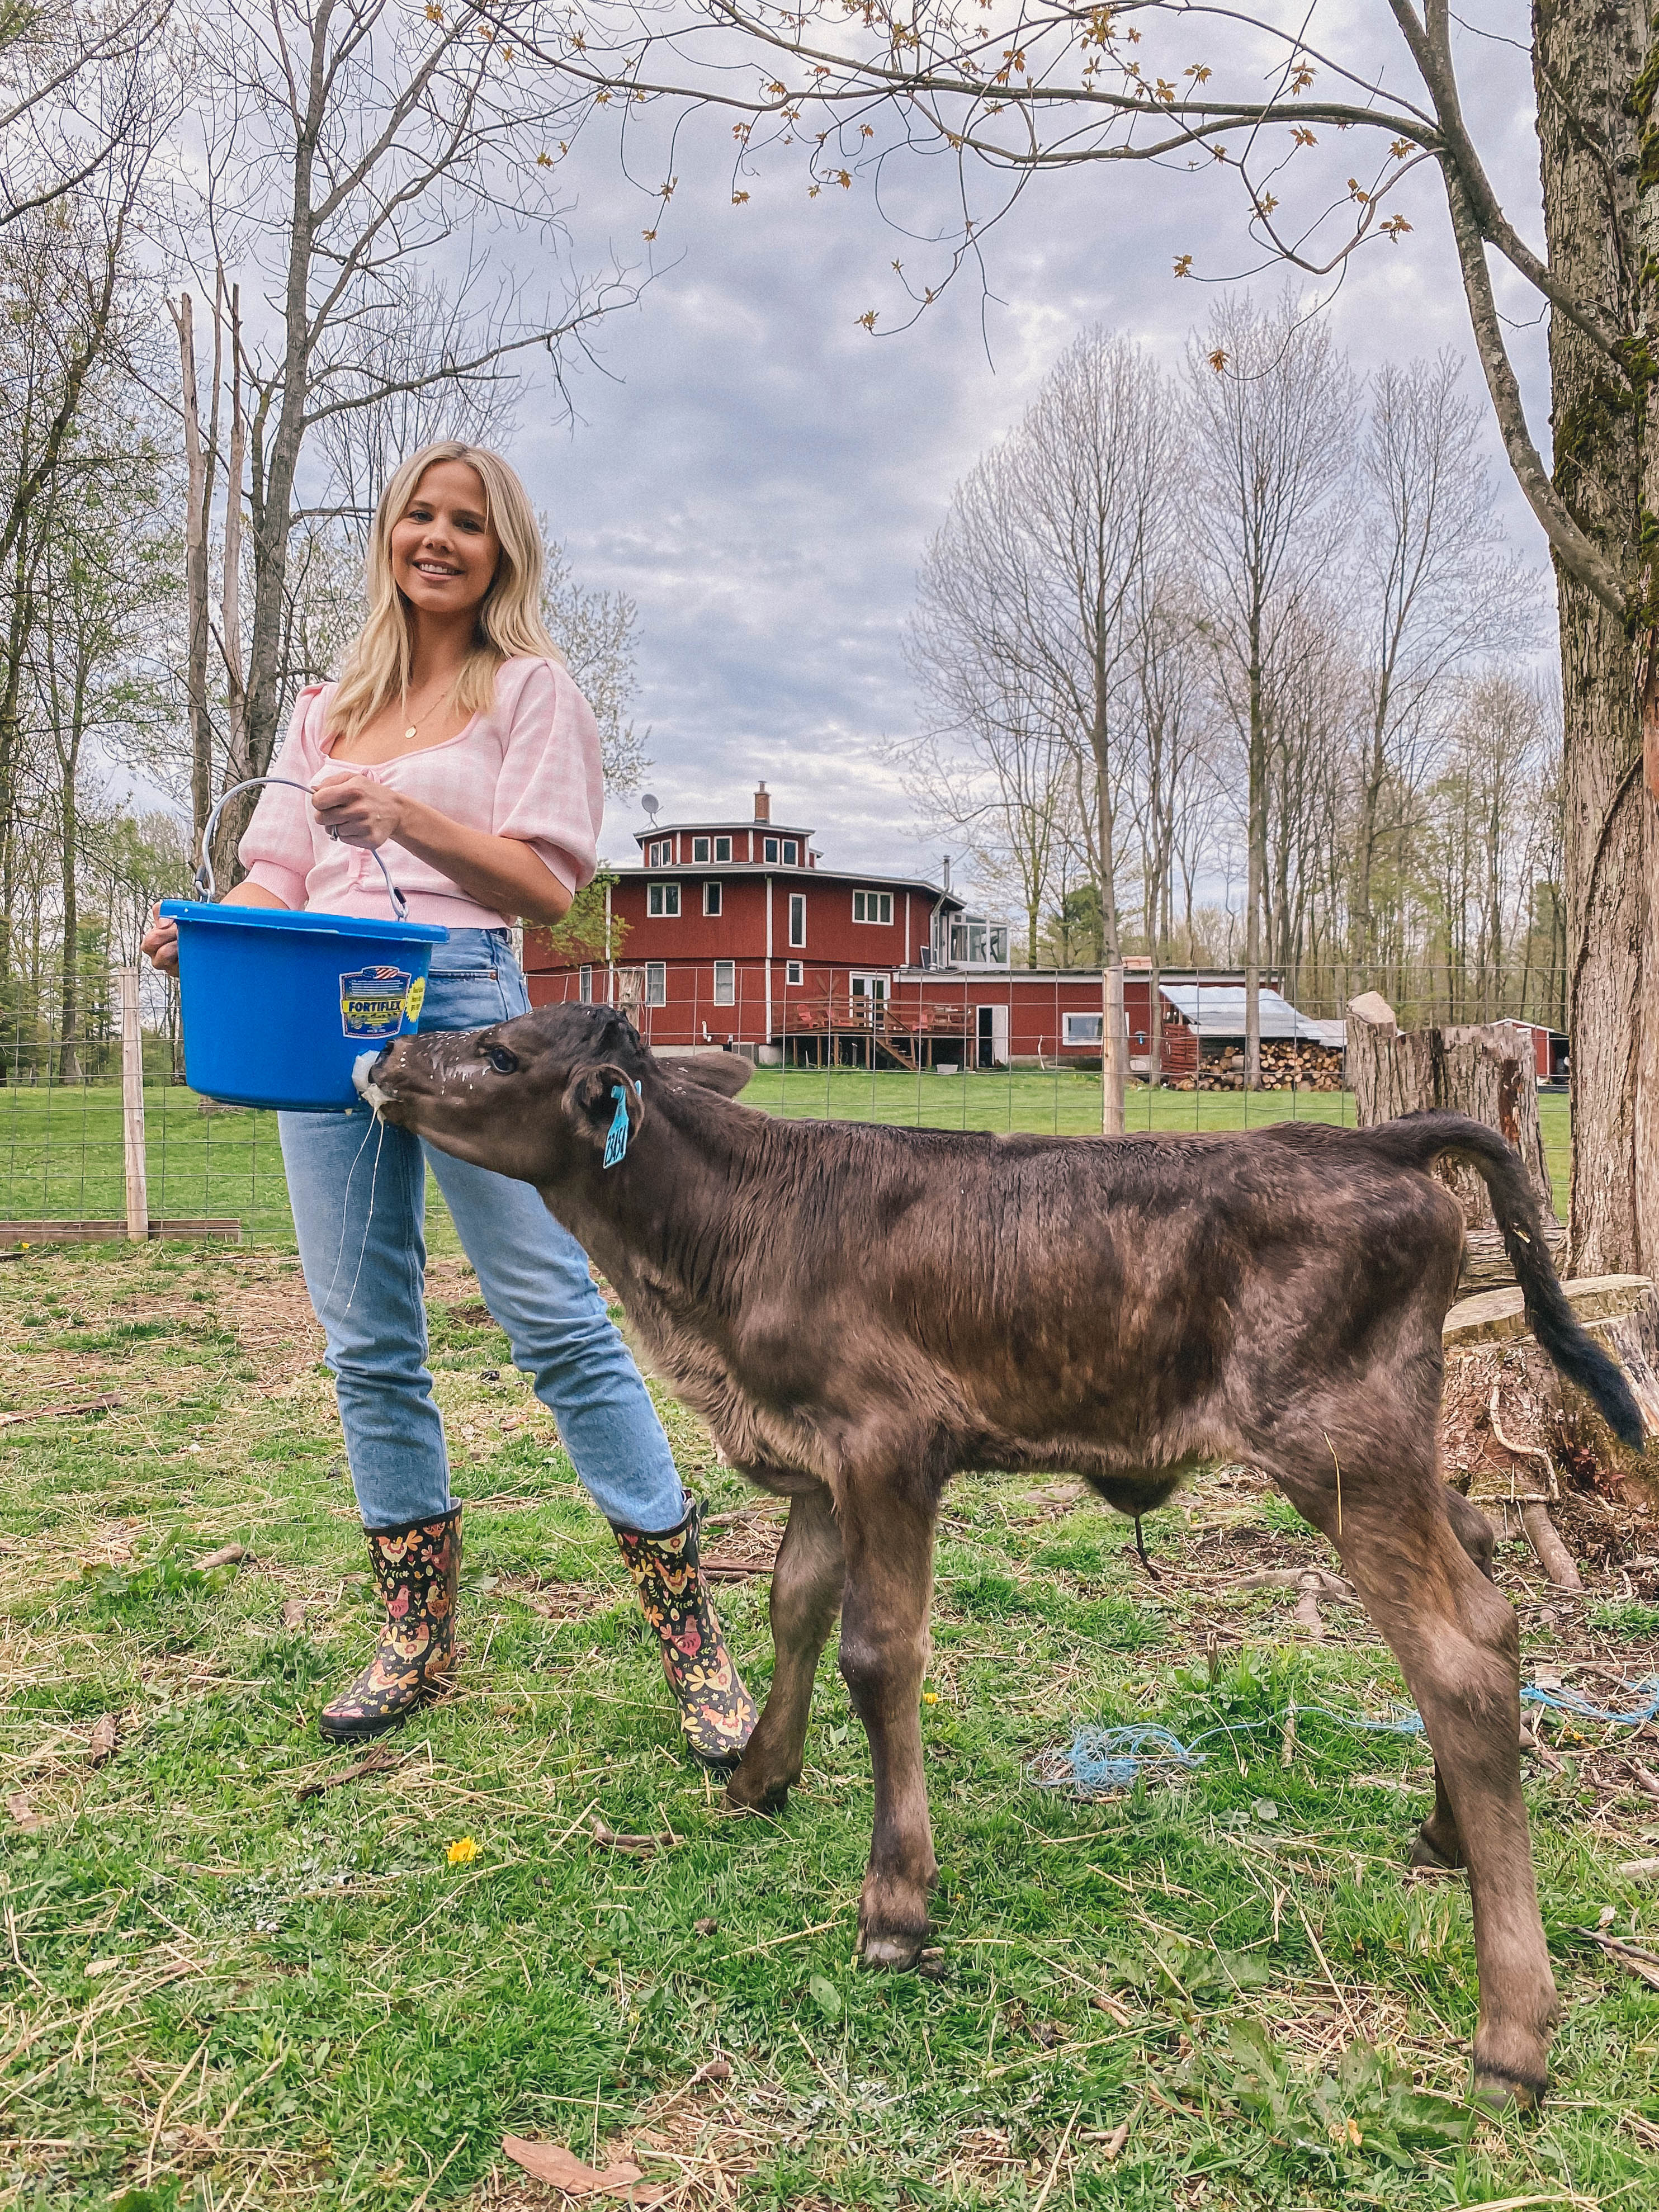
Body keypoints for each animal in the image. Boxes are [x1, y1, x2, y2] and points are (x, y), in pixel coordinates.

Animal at [358, 1004, 1646, 2106]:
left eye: (502, 1052)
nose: (380, 1055)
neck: (728, 1247)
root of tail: (1368, 1138)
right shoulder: (816, 1461)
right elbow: (791, 1605)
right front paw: (759, 1776)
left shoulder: (885, 1442)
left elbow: (878, 1653)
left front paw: (895, 1903)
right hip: (1393, 1446)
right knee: (1480, 1559)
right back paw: (1444, 1833)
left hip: (1338, 1443)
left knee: (1461, 1649)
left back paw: (1511, 2037)